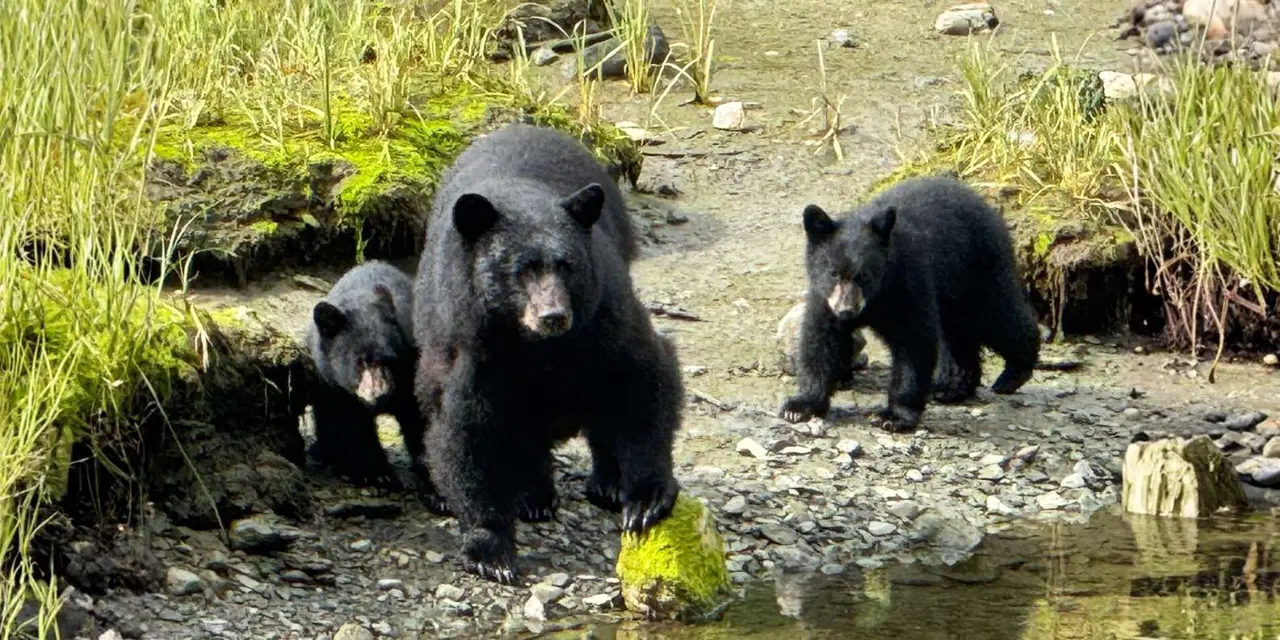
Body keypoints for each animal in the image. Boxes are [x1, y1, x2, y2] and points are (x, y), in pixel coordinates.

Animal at [306, 260, 445, 511]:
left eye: (389, 359)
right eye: (360, 361)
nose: (380, 394)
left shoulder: (411, 368)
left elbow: (422, 419)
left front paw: (438, 493)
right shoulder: (332, 385)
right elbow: (349, 424)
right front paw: (378, 476)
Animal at [413, 123, 683, 584]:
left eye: (566, 265)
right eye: (521, 270)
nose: (553, 315)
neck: (532, 345)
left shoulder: (601, 313)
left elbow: (640, 375)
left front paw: (646, 498)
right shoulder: (471, 343)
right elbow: (466, 425)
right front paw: (491, 549)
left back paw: (605, 482)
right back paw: (533, 493)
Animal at [779, 175, 1040, 431]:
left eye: (865, 275)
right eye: (833, 273)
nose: (847, 310)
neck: (877, 298)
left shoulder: (906, 283)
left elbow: (913, 343)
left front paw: (894, 416)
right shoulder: (824, 298)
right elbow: (820, 342)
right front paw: (800, 406)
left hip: (978, 266)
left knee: (996, 316)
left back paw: (1013, 373)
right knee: (958, 334)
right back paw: (952, 387)